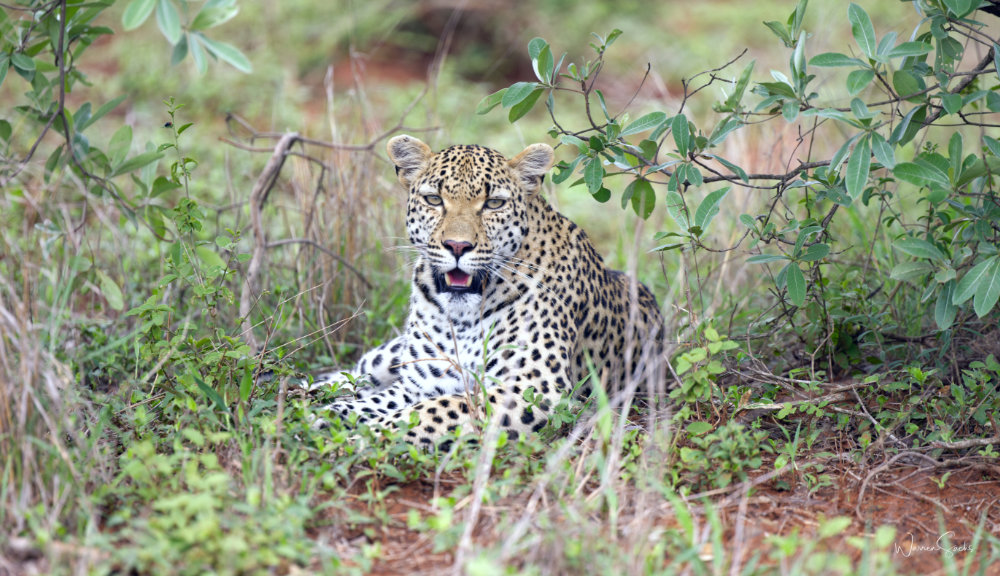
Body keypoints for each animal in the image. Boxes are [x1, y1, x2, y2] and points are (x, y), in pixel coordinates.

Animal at [310, 135, 664, 447]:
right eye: (434, 199)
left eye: (493, 203)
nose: (457, 246)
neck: (463, 315)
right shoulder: (421, 382)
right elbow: (378, 403)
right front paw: (329, 416)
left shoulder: (532, 387)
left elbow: (433, 411)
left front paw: (364, 435)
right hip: (390, 355)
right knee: (357, 372)